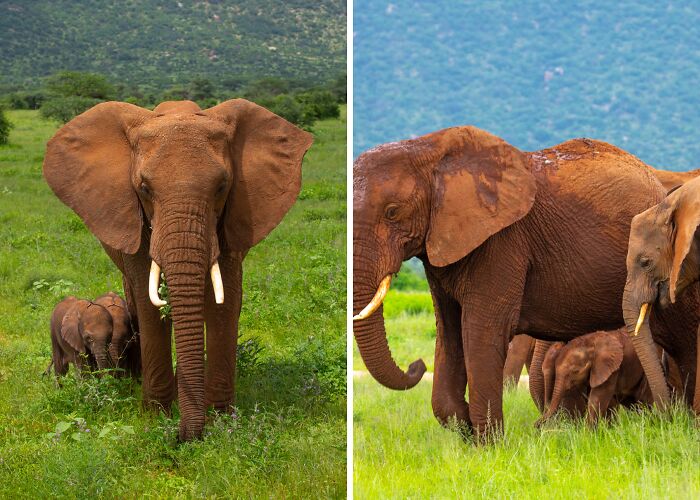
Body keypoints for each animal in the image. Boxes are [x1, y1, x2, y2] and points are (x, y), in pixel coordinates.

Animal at [43, 99, 313, 440]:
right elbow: (149, 304)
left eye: (222, 186)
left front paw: (222, 419)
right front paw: (156, 415)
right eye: (144, 188)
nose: (185, 437)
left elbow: (225, 301)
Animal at [353, 125, 676, 440]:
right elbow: (449, 331)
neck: (428, 149)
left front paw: (488, 446)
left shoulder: (502, 243)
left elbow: (481, 331)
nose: (415, 365)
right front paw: (465, 426)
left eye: (392, 212)